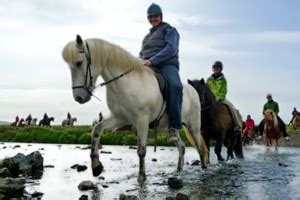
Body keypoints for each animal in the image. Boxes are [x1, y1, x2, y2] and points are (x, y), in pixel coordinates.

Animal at [62, 35, 209, 184]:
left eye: (79, 63)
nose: (79, 97)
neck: (125, 82)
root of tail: (193, 90)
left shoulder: (142, 121)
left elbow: (141, 150)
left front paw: (141, 177)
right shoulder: (119, 118)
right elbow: (96, 130)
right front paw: (96, 167)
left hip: (193, 126)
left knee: (200, 147)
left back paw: (203, 169)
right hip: (173, 125)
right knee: (182, 147)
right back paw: (178, 170)